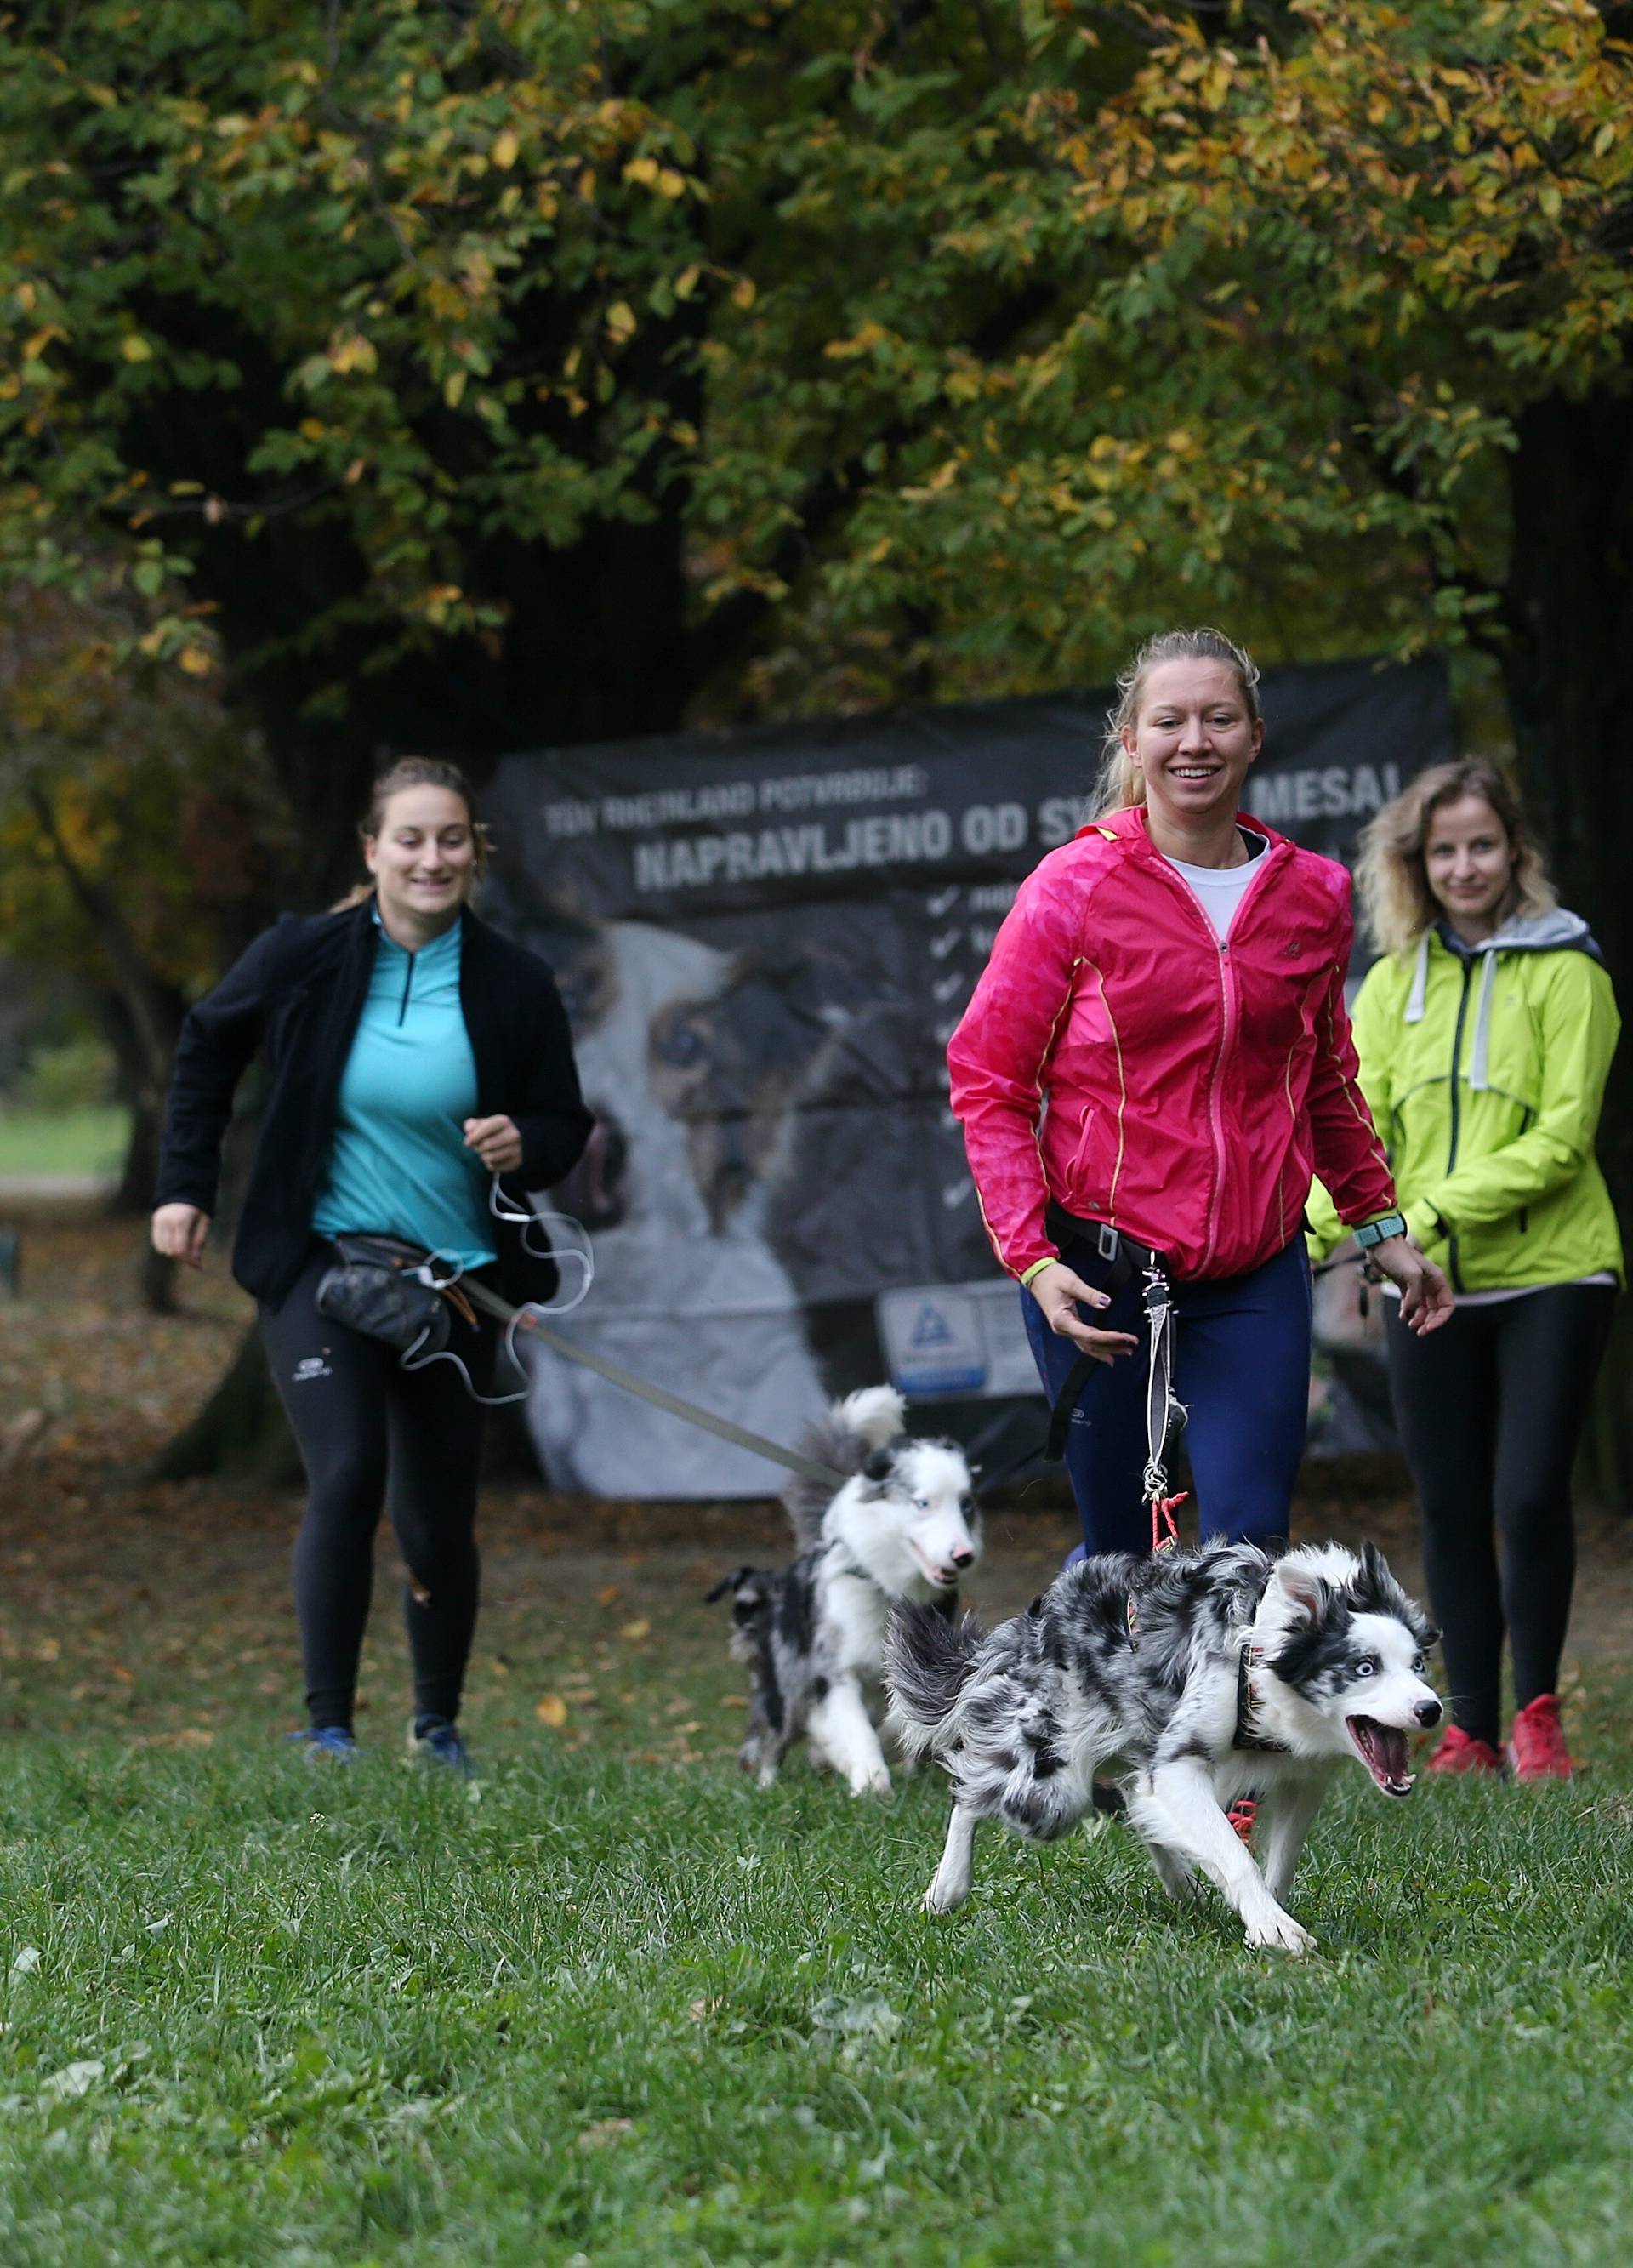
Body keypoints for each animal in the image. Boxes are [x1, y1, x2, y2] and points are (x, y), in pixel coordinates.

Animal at [703, 1388, 984, 1796]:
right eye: (923, 1503)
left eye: (966, 1506)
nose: (964, 1555)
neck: (887, 1588)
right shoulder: (833, 1669)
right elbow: (855, 1727)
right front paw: (868, 1777)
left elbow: (901, 1718)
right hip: (788, 1684)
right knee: (774, 1738)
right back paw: (769, 1783)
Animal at [885, 1533, 1433, 1959]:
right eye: (1365, 1667)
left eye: (1418, 1664)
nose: (1430, 1709)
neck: (1262, 1652)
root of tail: (1037, 1619)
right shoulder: (1179, 1762)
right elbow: (1235, 1854)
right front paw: (1274, 1928)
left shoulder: (1303, 1780)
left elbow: (1278, 1863)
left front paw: (1266, 1916)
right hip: (1051, 1786)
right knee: (971, 1791)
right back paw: (946, 1889)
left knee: (1133, 1798)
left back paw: (1182, 1885)